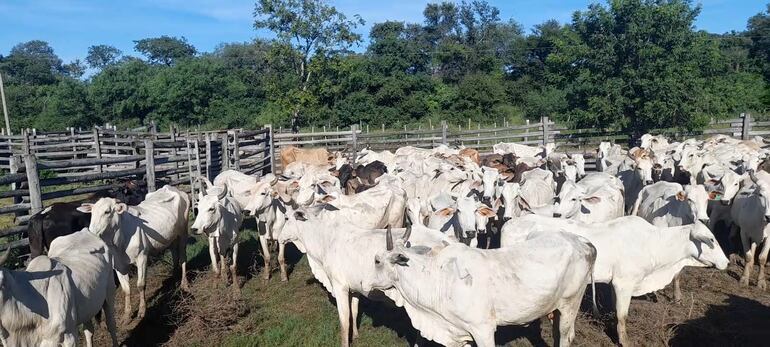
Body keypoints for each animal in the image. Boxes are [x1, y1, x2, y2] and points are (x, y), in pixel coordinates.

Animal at [79, 186, 190, 324]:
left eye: (107, 212)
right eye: (92, 213)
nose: (91, 233)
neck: (118, 242)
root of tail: (171, 187)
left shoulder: (142, 257)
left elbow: (140, 285)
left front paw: (142, 311)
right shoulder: (118, 265)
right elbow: (126, 289)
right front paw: (127, 315)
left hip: (183, 232)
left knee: (183, 256)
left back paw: (184, 284)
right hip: (171, 236)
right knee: (174, 253)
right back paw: (174, 277)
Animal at [368, 228, 596, 347]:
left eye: (377, 260)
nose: (367, 285)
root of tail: (583, 241)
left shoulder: (483, 330)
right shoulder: (461, 331)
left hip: (570, 304)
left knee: (565, 335)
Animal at [498, 215, 728, 347]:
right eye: (712, 240)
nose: (726, 262)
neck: (653, 244)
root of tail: (509, 223)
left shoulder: (614, 284)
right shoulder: (624, 283)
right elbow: (622, 316)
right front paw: (624, 341)